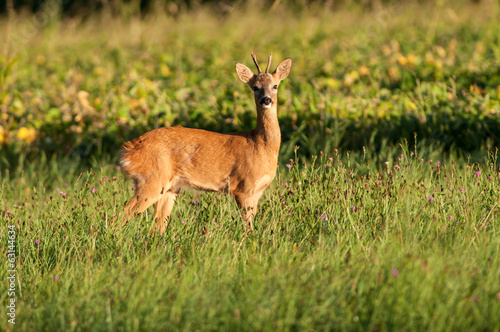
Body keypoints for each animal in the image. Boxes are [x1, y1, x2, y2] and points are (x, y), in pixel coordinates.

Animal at [112, 52, 292, 233]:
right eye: (255, 87)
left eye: (275, 85)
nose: (266, 100)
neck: (261, 145)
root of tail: (128, 150)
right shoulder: (243, 186)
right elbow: (248, 226)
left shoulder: (257, 192)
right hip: (152, 180)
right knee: (120, 217)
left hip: (169, 188)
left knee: (157, 225)